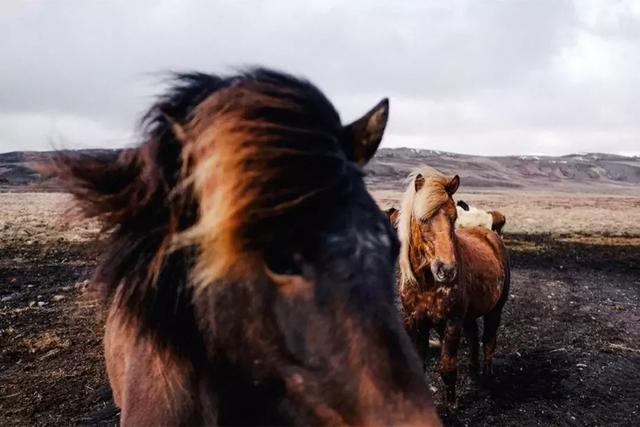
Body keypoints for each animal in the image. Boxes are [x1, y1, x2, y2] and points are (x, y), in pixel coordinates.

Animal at [396, 168, 510, 414]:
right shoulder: (414, 321)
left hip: (495, 309)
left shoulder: (451, 321)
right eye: (422, 218)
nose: (446, 269)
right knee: (474, 336)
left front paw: (452, 407)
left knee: (489, 339)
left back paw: (487, 378)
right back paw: (474, 372)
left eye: (453, 217)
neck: (426, 283)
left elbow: (447, 367)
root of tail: (490, 234)